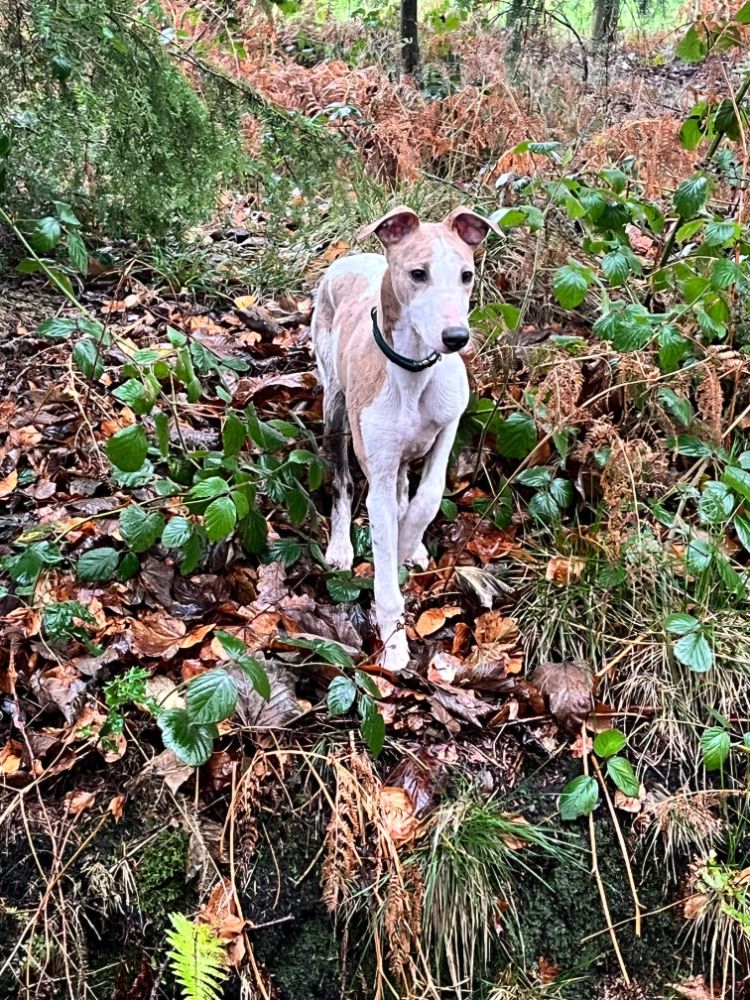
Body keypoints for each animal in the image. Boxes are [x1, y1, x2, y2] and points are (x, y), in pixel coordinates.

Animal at [311, 205, 499, 671]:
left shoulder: (448, 425)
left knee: (402, 488)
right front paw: (395, 644)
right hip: (335, 406)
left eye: (466, 275)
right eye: (418, 274)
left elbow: (428, 496)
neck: (413, 370)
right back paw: (340, 547)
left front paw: (408, 543)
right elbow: (383, 549)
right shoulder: (375, 468)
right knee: (342, 482)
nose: (456, 338)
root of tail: (348, 258)